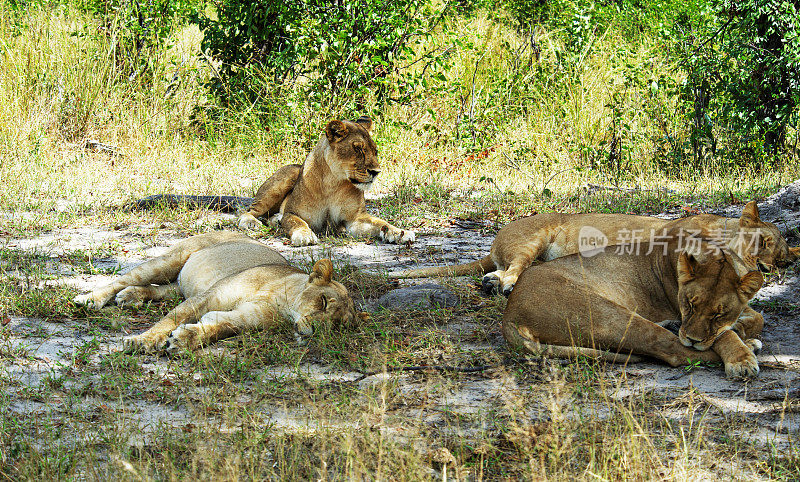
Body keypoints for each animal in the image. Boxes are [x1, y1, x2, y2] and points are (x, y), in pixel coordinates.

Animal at [73, 232, 358, 352]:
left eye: (338, 325)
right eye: (323, 302)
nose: (316, 329)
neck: (285, 301)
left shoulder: (246, 317)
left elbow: (220, 327)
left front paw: (185, 339)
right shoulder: (208, 297)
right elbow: (168, 320)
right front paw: (141, 341)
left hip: (181, 285)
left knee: (164, 290)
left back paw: (131, 296)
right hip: (171, 260)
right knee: (123, 279)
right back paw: (88, 299)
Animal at [234, 116, 416, 245]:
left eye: (375, 151)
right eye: (358, 149)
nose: (376, 172)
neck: (333, 182)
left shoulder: (355, 219)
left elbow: (380, 222)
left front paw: (400, 232)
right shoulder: (293, 213)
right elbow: (297, 222)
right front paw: (304, 235)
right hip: (283, 180)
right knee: (248, 210)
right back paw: (250, 222)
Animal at [504, 233, 764, 376]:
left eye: (719, 314)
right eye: (690, 305)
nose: (693, 339)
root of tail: (509, 312)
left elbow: (756, 319)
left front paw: (743, 332)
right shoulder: (683, 318)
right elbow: (722, 335)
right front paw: (741, 358)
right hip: (612, 317)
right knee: (674, 351)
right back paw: (749, 348)